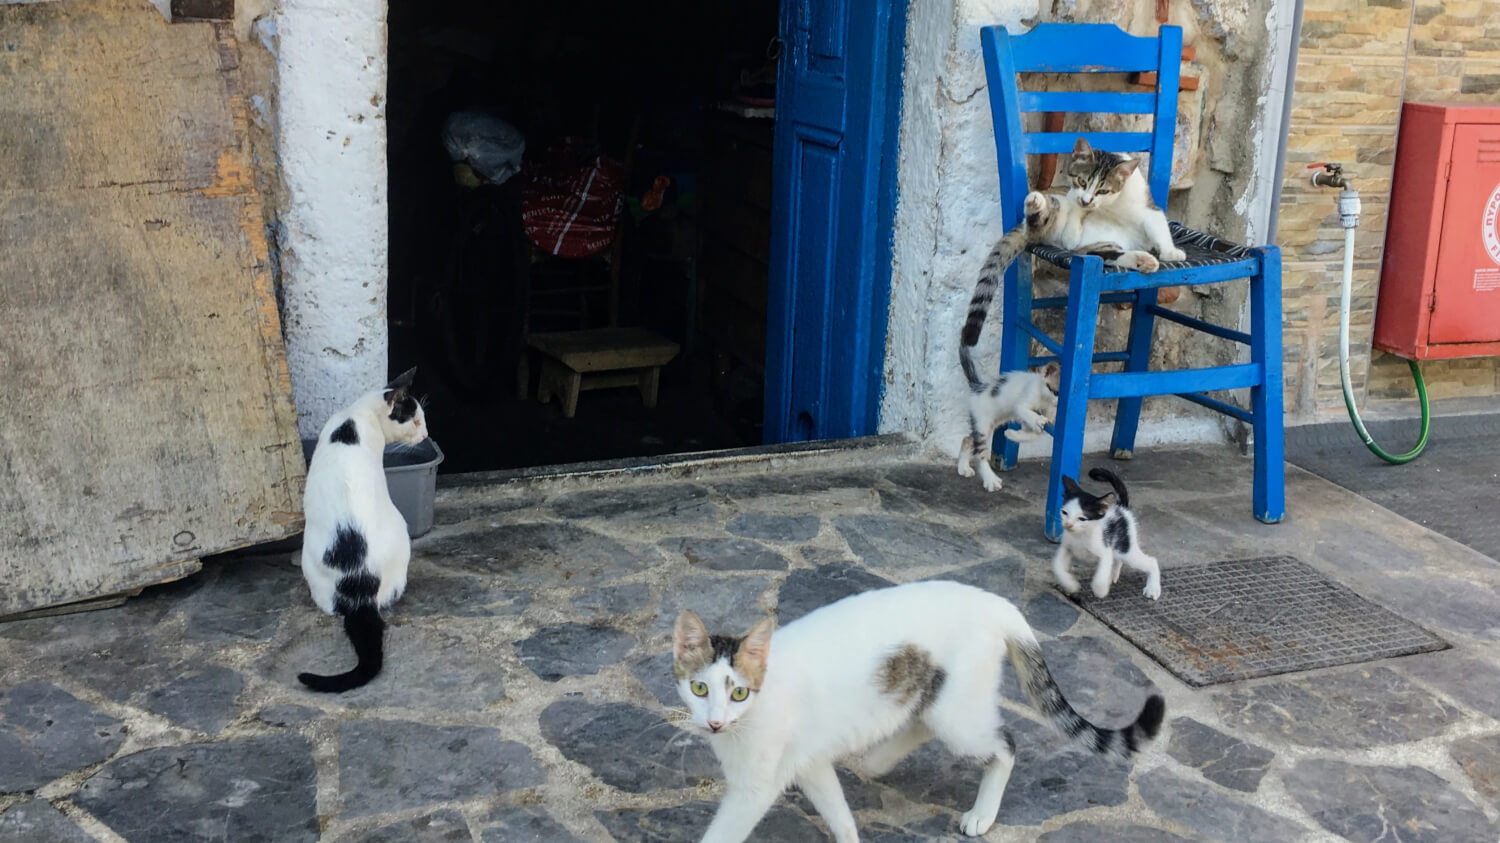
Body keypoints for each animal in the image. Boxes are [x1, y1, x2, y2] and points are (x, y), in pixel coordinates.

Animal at [675, 582, 1164, 834]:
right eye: (699, 688)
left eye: (738, 693)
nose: (714, 722)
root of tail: (998, 602)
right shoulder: (808, 761)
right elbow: (838, 812)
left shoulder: (756, 787)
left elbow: (724, 832)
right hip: (942, 700)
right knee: (923, 721)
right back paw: (879, 758)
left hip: (959, 718)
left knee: (1005, 746)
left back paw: (982, 814)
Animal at [1056, 465, 1158, 597]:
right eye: (1064, 512)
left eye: (1082, 519)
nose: (1068, 525)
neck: (1081, 536)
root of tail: (1121, 508)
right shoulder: (1066, 548)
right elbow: (1057, 566)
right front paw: (1070, 584)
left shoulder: (1105, 551)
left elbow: (1101, 574)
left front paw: (1100, 590)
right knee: (1118, 561)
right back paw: (1113, 575)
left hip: (1126, 551)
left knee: (1152, 561)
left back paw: (1153, 588)